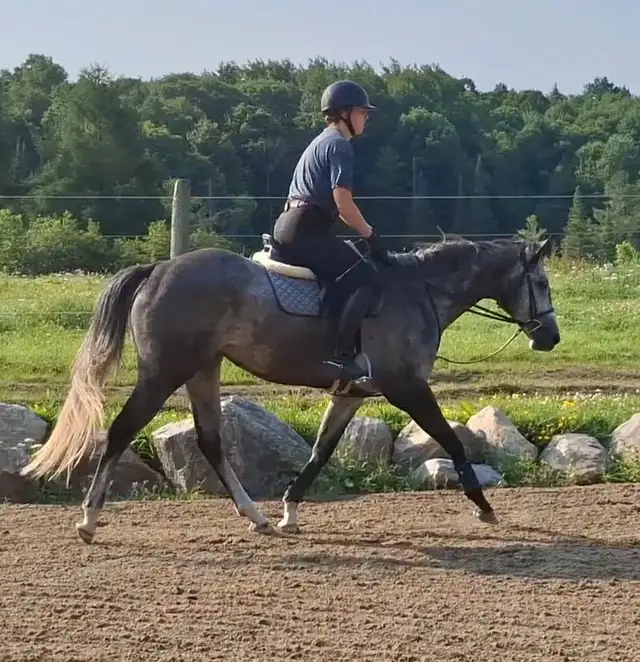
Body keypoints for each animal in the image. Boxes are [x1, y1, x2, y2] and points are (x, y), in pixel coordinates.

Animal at [22, 233, 559, 543]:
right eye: (543, 283)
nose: (550, 338)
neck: (421, 291)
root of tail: (158, 268)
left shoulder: (350, 393)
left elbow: (321, 450)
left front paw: (289, 511)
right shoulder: (407, 388)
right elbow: (450, 440)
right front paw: (484, 507)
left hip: (202, 370)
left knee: (210, 440)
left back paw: (255, 517)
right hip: (164, 373)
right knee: (120, 431)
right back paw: (89, 521)